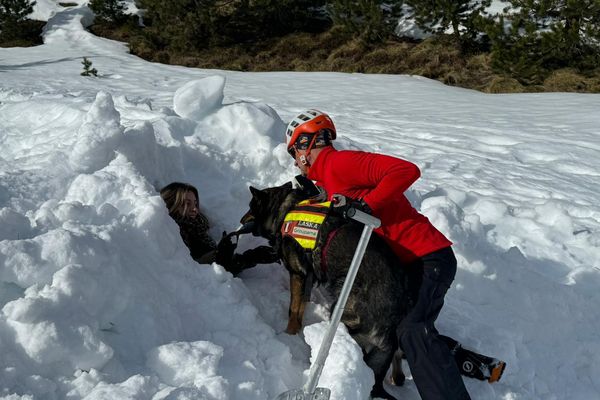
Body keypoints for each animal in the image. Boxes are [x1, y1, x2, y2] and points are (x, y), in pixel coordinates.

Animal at [240, 182, 422, 400]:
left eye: (250, 206)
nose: (240, 221)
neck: (285, 209)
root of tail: (394, 315)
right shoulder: (307, 279)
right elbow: (300, 310)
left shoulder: (298, 274)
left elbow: (293, 310)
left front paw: (288, 336)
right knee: (396, 354)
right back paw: (397, 376)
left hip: (344, 312)